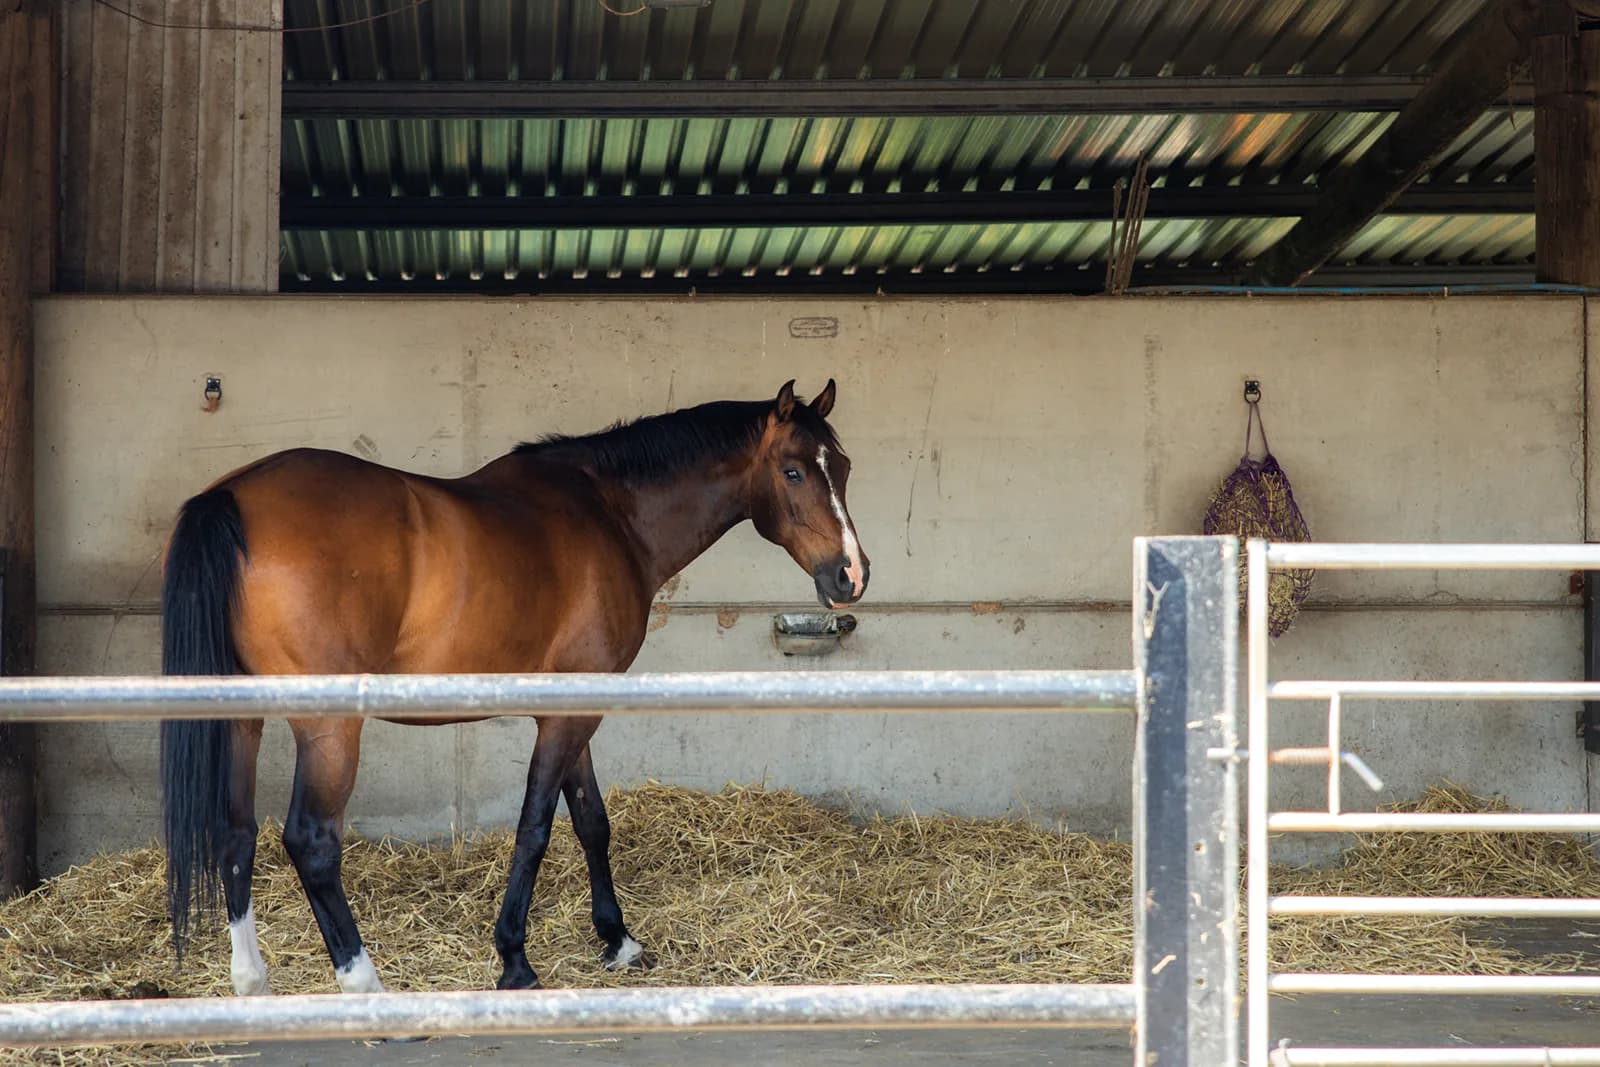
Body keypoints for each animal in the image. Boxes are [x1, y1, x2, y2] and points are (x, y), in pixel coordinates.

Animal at [159, 379, 869, 995]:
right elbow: (536, 828)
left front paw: (617, 941)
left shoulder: (574, 704)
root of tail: (233, 499)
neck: (610, 512)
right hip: (329, 728)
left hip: (242, 717)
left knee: (235, 832)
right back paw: (366, 988)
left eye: (843, 467)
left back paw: (251, 982)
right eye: (793, 472)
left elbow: (591, 820)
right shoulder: (566, 714)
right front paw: (515, 960)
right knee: (310, 842)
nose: (850, 576)